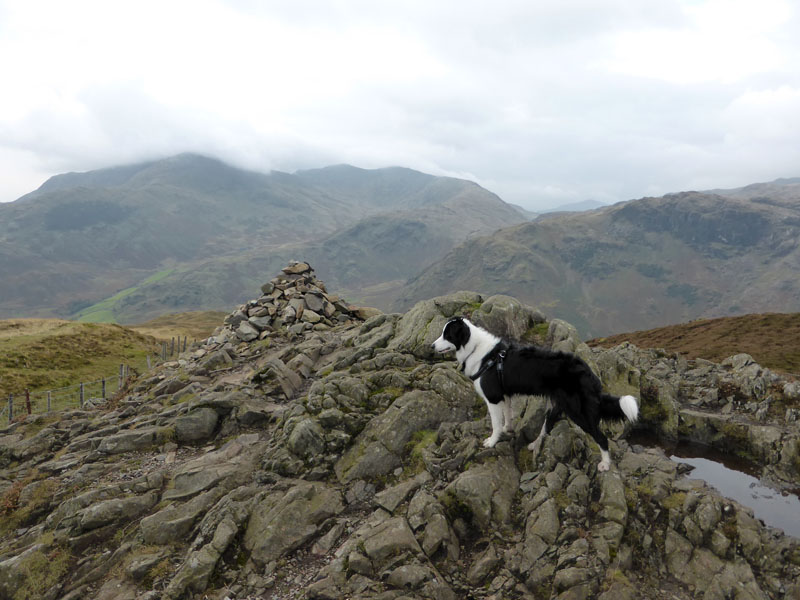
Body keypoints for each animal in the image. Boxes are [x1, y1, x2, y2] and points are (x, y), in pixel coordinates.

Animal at [432, 316, 636, 472]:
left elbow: (495, 424)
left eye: (447, 334)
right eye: (442, 333)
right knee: (549, 424)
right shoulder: (505, 396)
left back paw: (605, 464)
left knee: (601, 437)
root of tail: (587, 371)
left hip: (577, 411)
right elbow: (507, 416)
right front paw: (508, 429)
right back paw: (536, 444)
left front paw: (492, 441)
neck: (476, 349)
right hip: (559, 403)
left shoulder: (493, 398)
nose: (432, 346)